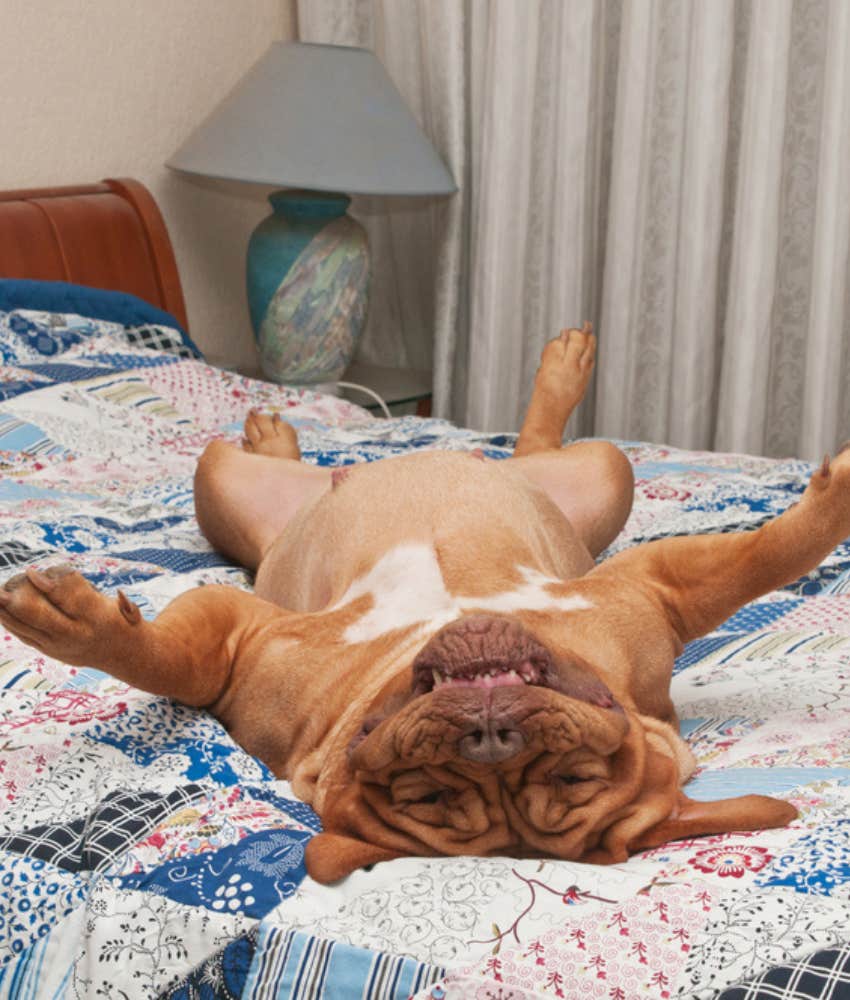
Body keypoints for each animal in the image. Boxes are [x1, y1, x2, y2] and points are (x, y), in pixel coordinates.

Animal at [0, 328, 840, 884]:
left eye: (575, 777)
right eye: (426, 795)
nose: (493, 735)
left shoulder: (652, 593)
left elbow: (766, 558)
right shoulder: (244, 641)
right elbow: (170, 658)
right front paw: (74, 624)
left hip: (599, 475)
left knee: (533, 448)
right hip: (222, 479)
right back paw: (279, 433)